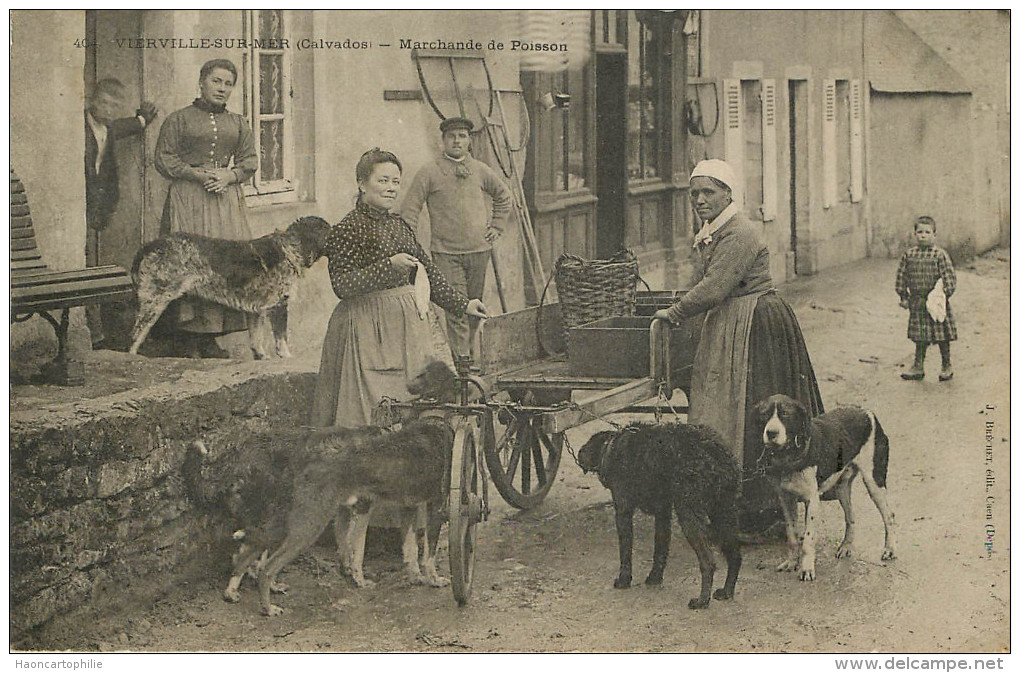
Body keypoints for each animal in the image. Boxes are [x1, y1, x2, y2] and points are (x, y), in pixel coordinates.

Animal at [125, 218, 328, 360]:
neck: (289, 248)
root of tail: (149, 246)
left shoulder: (256, 310)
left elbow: (256, 340)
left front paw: (262, 357)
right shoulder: (278, 304)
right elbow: (281, 338)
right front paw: (286, 356)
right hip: (155, 299)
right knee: (135, 335)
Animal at [255, 360, 459, 615]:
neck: (433, 419)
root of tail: (305, 454)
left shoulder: (408, 507)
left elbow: (410, 549)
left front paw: (415, 576)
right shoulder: (436, 505)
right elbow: (429, 553)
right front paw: (434, 579)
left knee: (263, 560)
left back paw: (275, 588)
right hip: (310, 523)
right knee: (268, 568)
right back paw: (268, 607)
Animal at [583, 426, 742, 611]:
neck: (612, 447)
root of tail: (717, 454)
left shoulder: (623, 512)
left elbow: (625, 552)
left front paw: (624, 580)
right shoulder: (663, 513)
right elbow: (660, 549)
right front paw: (655, 577)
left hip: (689, 516)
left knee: (708, 562)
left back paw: (702, 601)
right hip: (723, 515)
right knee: (735, 556)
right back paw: (727, 591)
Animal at [750, 397, 901, 579]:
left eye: (785, 413)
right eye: (764, 414)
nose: (771, 433)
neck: (788, 455)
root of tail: (867, 412)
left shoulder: (812, 501)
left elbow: (808, 540)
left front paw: (807, 569)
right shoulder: (786, 499)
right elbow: (791, 535)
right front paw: (791, 562)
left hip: (874, 481)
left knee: (889, 516)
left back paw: (890, 549)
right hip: (842, 488)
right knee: (851, 516)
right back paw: (846, 546)